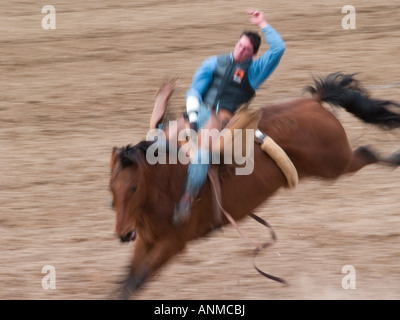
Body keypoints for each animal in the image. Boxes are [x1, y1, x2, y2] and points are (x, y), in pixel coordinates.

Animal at [109, 72, 400, 298]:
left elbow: (135, 282)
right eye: (111, 188)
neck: (168, 184)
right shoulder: (146, 240)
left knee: (366, 153)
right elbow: (126, 282)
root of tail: (313, 101)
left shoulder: (172, 244)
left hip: (334, 164)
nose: (123, 234)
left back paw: (395, 158)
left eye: (134, 188)